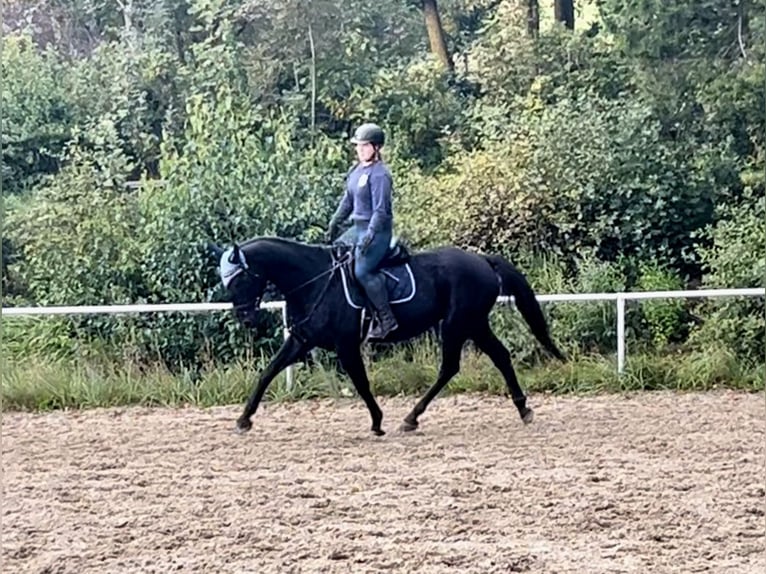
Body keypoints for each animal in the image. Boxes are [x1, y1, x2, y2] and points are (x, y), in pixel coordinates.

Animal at [207, 237, 568, 436]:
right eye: (227, 281)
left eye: (241, 279)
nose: (246, 318)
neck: (314, 280)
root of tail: (481, 260)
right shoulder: (301, 341)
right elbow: (267, 372)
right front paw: (243, 419)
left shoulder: (345, 345)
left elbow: (361, 382)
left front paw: (378, 422)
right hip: (475, 324)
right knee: (499, 357)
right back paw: (523, 409)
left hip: (457, 325)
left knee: (450, 367)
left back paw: (411, 417)